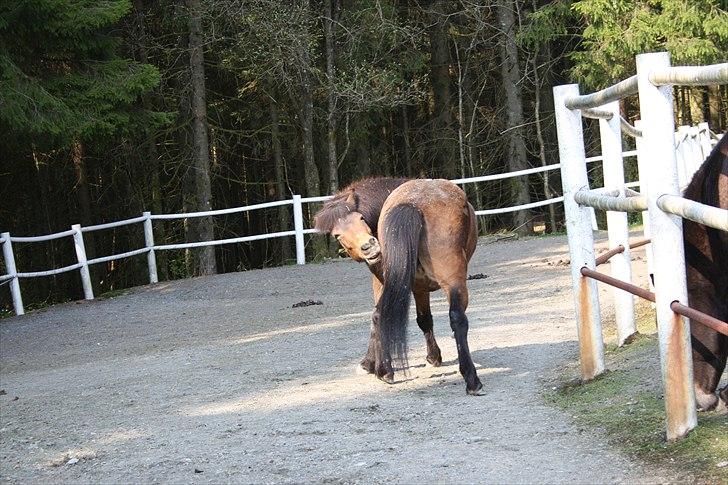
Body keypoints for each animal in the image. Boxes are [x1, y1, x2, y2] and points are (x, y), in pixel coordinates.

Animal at [312, 176, 484, 396]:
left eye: (361, 219)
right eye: (337, 235)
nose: (369, 247)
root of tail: (412, 204)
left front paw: (369, 364)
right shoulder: (415, 286)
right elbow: (422, 320)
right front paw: (433, 357)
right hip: (452, 280)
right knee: (457, 318)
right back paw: (470, 379)